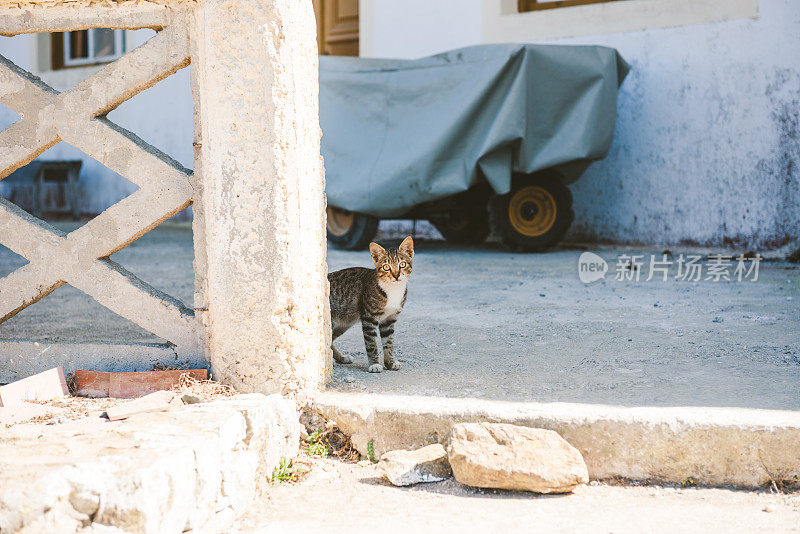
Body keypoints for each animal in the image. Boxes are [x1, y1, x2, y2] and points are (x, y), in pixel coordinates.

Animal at [326, 237, 416, 374]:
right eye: (386, 267)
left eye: (402, 264)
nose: (396, 275)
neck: (393, 290)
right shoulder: (369, 318)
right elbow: (372, 344)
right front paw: (375, 364)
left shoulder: (389, 320)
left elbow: (389, 342)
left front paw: (390, 362)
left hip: (344, 322)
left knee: (330, 339)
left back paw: (341, 358)